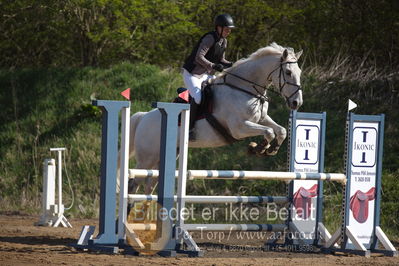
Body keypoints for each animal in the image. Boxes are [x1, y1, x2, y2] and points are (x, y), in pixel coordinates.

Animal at [128, 42, 304, 193]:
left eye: (300, 73)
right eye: (288, 73)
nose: (297, 103)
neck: (244, 88)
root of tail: (143, 117)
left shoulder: (261, 119)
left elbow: (280, 130)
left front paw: (271, 149)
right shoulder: (239, 128)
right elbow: (269, 132)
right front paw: (258, 148)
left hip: (164, 156)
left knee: (150, 184)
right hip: (147, 158)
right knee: (133, 182)